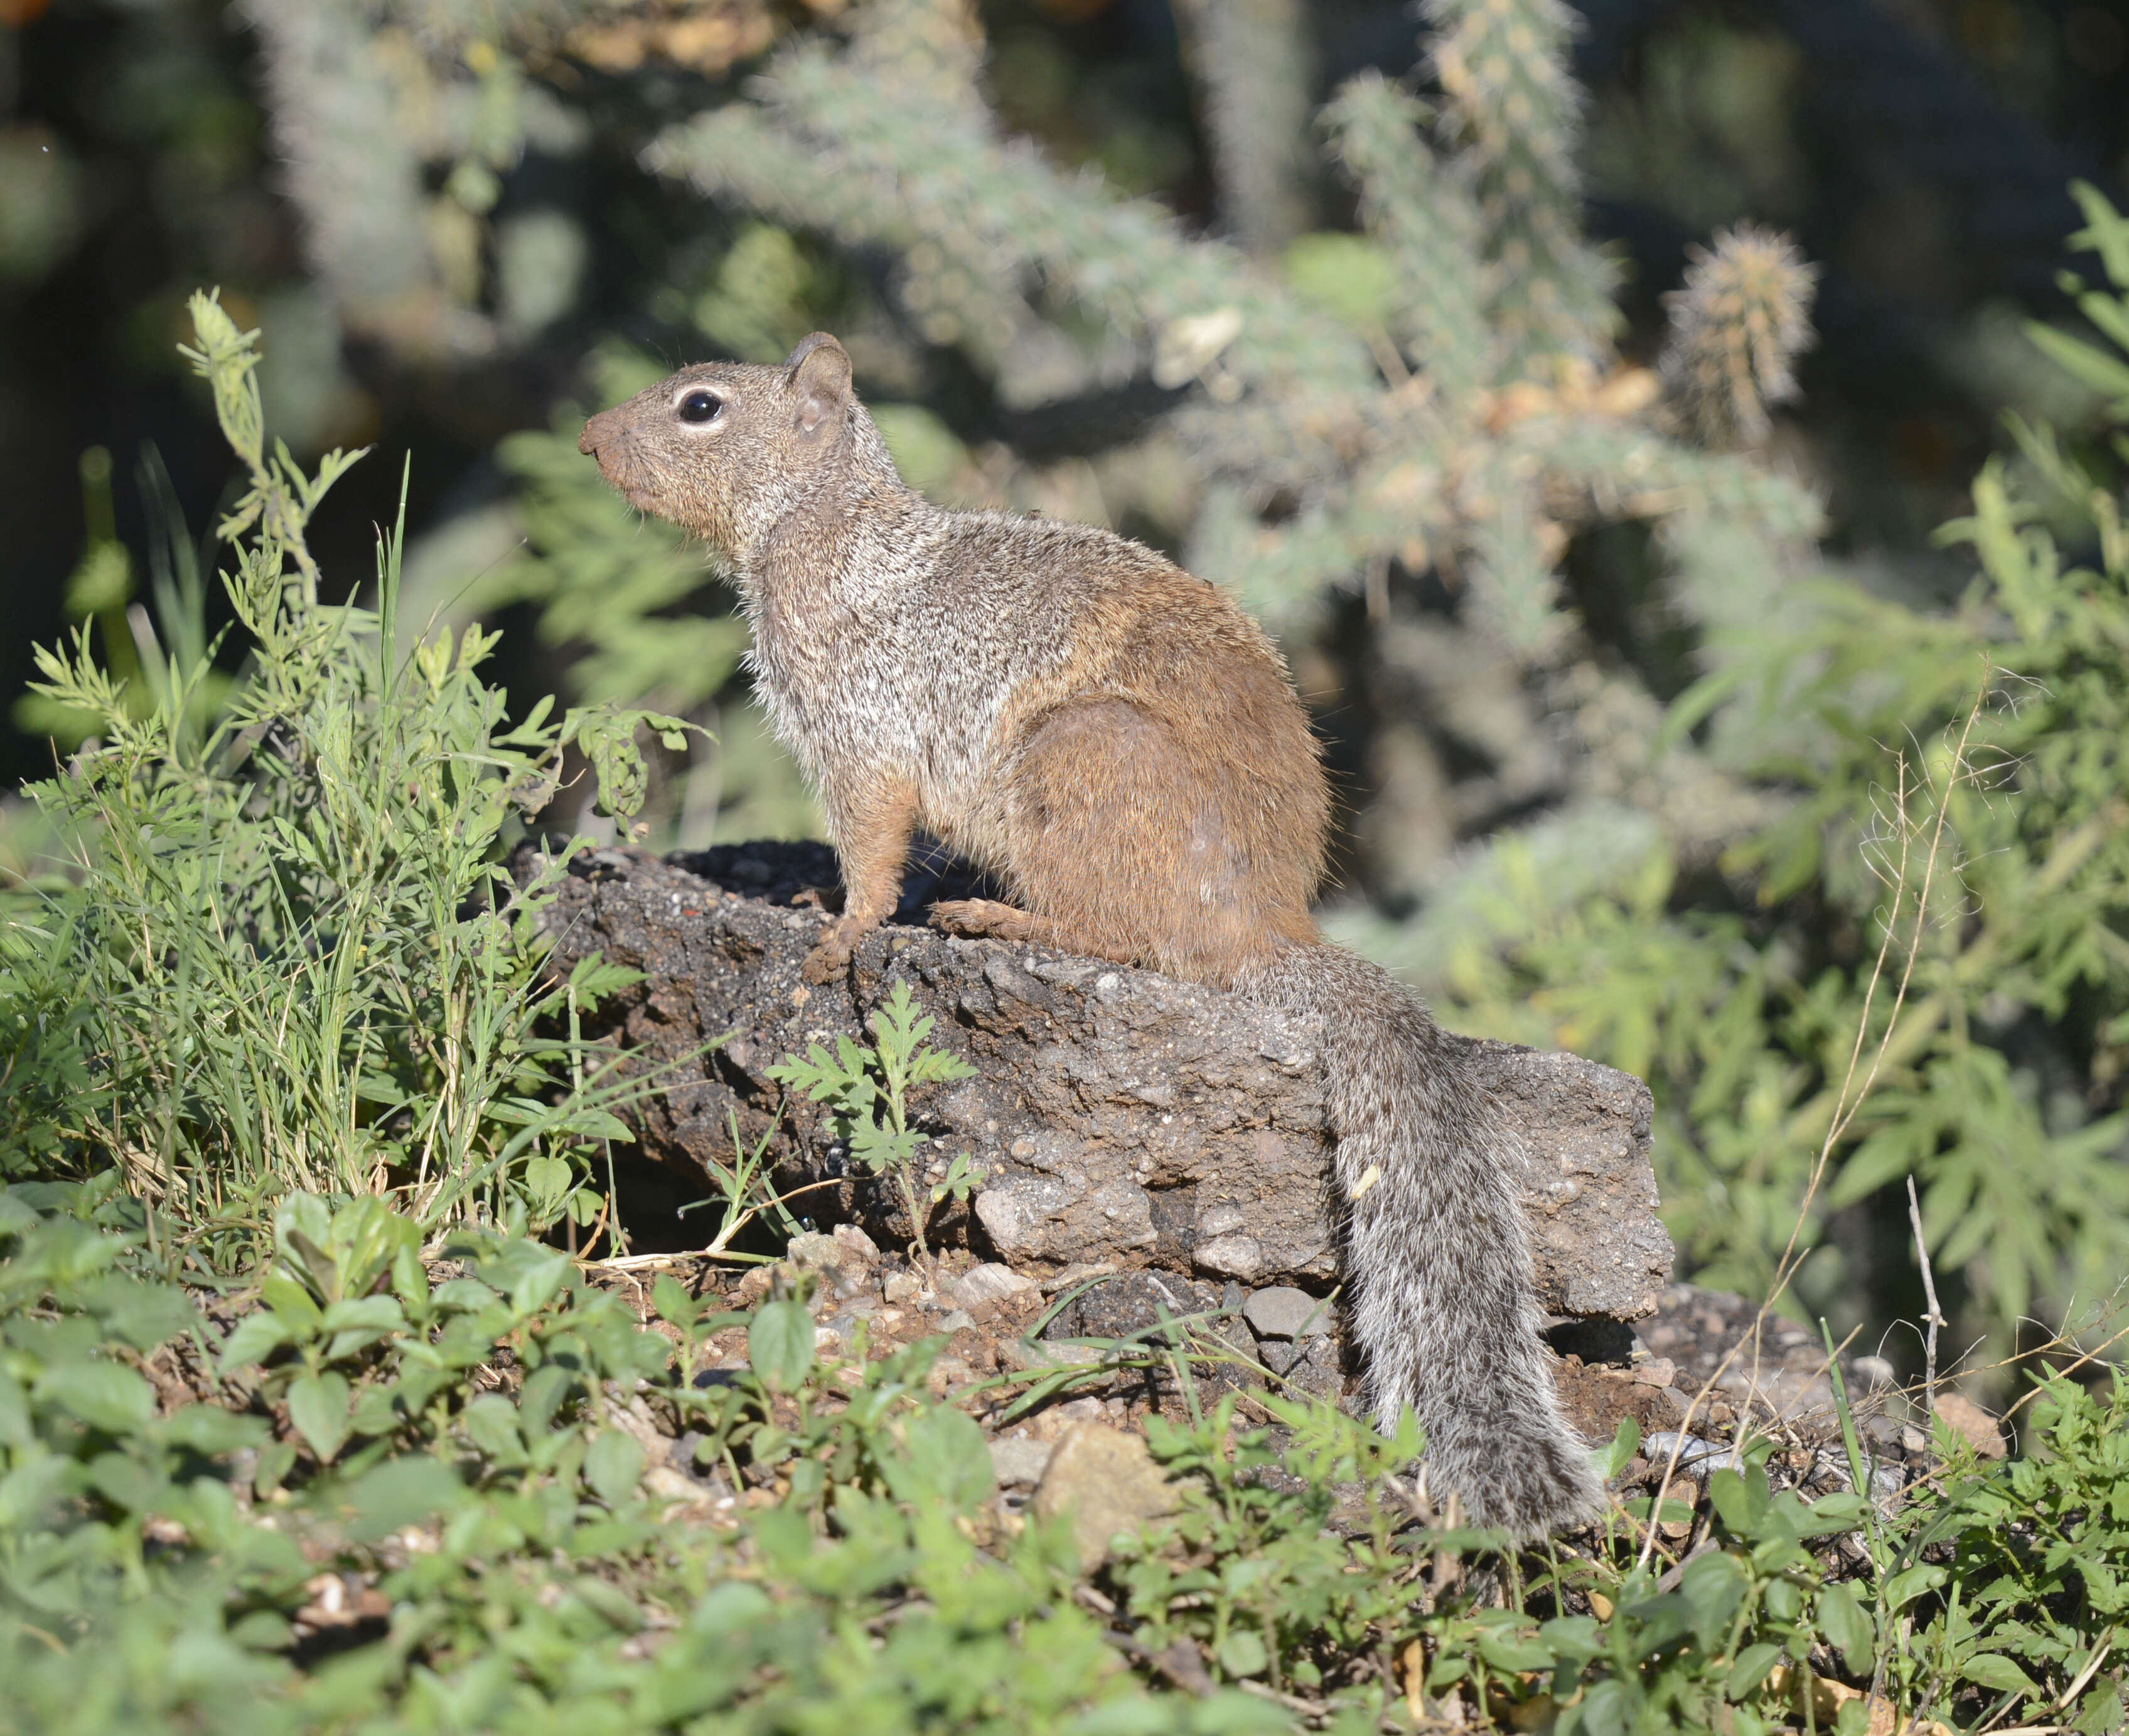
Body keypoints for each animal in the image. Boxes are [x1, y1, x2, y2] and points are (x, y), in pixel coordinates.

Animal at [583, 332, 1601, 1525]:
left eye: (700, 406)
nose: (589, 438)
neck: (822, 522)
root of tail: (1265, 926)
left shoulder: (858, 727)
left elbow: (872, 849)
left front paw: (838, 930)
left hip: (1083, 762)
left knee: (1117, 937)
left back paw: (994, 914)